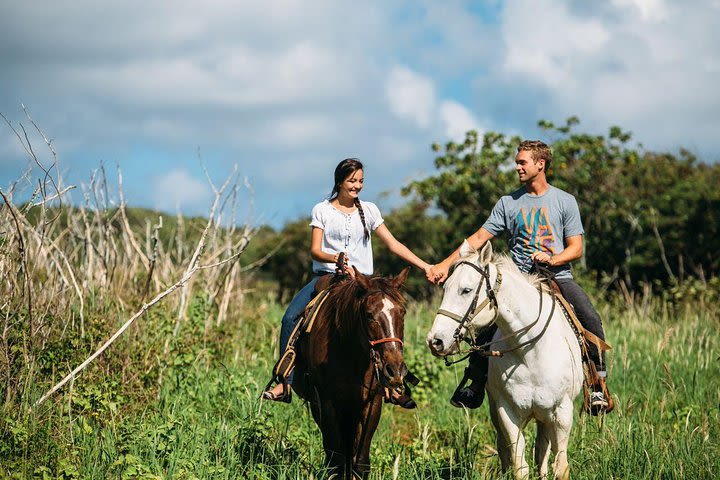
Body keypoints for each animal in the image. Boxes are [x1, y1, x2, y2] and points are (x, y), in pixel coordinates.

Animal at [294, 268, 410, 478]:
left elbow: (360, 462)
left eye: (402, 312)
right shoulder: (326, 403)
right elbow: (336, 461)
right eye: (369, 315)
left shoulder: (371, 402)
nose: (395, 370)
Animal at [428, 242, 584, 478]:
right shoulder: (506, 412)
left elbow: (560, 467)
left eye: (466, 290)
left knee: (543, 452)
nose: (435, 341)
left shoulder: (562, 412)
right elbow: (519, 466)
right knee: (507, 449)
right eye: (445, 288)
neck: (530, 351)